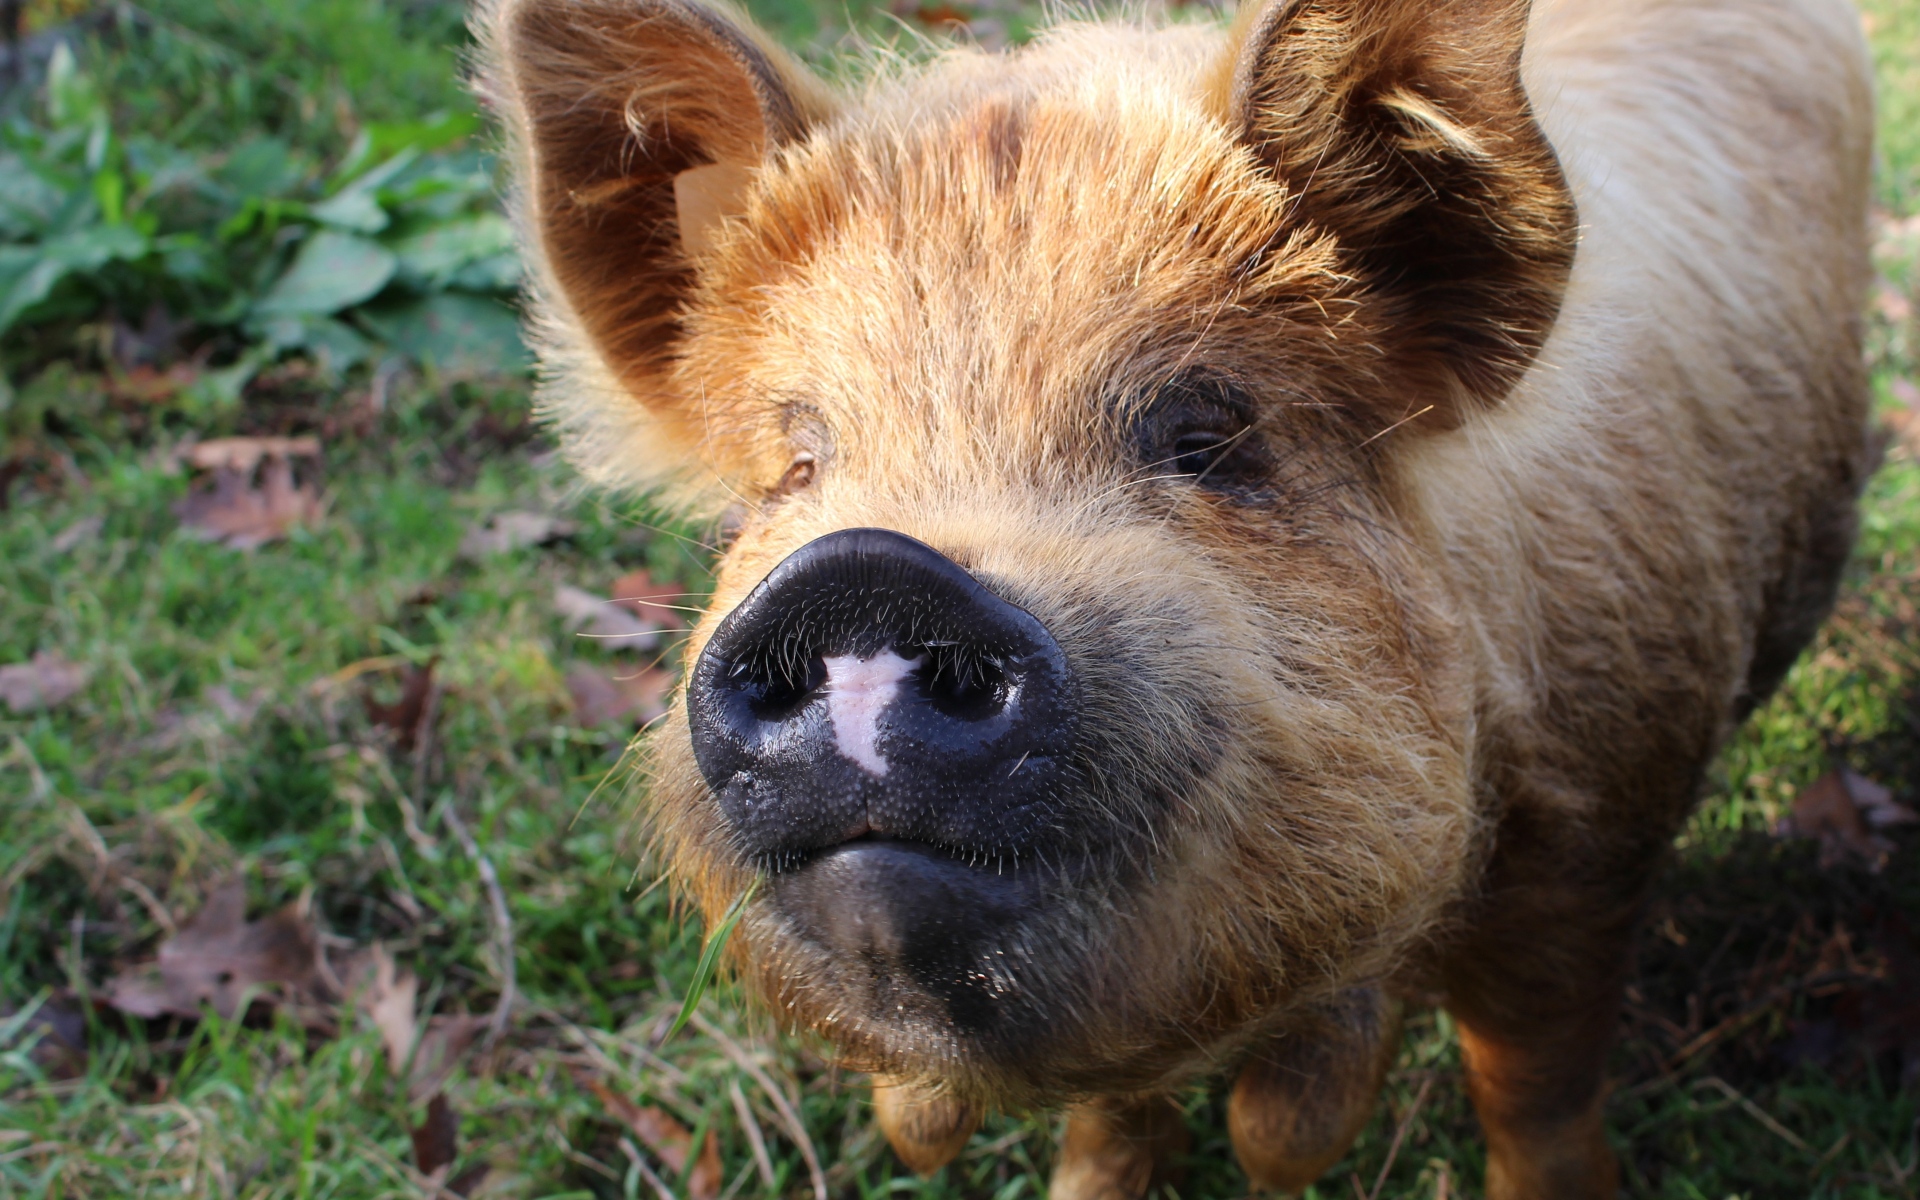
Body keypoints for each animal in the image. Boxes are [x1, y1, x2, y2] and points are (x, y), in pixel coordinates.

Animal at [477, 0, 1873, 1192]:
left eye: (1205, 433)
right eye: (792, 468)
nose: (858, 572)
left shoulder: (1605, 814)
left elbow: (1533, 1086)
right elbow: (1113, 1113)